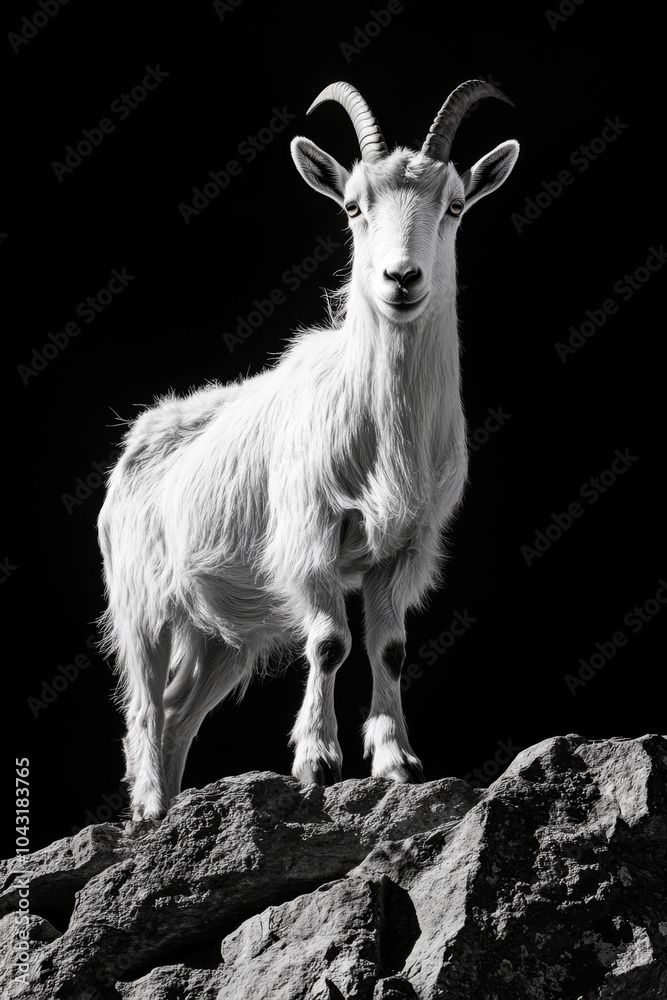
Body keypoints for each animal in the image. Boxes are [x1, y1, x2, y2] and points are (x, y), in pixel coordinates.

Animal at [98, 80, 519, 822]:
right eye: (353, 205)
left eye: (454, 205)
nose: (401, 278)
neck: (381, 435)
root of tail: (134, 445)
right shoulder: (309, 531)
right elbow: (328, 642)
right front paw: (317, 761)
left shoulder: (405, 546)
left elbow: (389, 647)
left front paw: (397, 761)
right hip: (138, 600)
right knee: (144, 705)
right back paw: (148, 808)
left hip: (221, 634)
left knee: (178, 712)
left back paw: (172, 805)